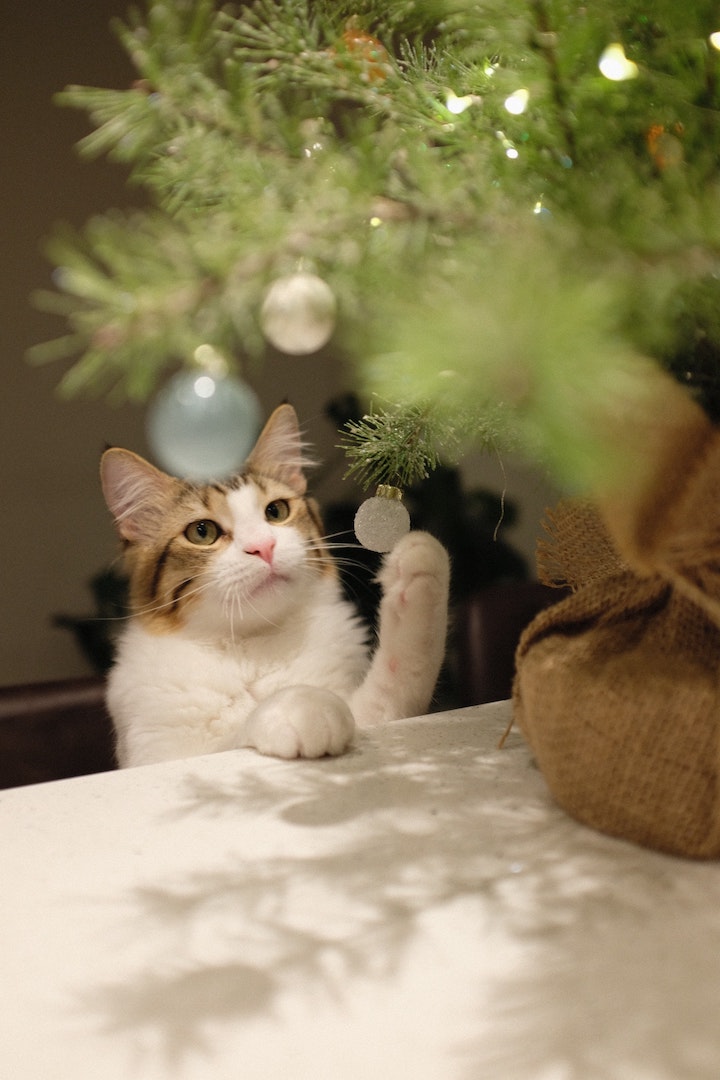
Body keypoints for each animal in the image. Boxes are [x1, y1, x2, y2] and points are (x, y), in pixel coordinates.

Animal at [101, 406, 451, 768]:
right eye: (202, 532)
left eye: (276, 511)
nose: (263, 547)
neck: (253, 647)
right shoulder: (158, 754)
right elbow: (232, 739)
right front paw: (298, 706)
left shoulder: (374, 710)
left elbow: (400, 680)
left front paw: (420, 570)